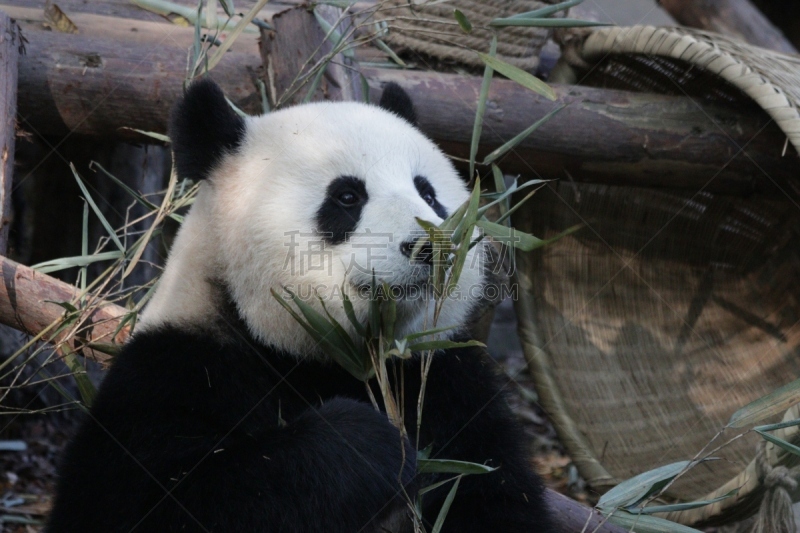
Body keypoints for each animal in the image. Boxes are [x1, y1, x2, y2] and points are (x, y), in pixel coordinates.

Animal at [47, 77, 552, 528]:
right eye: (347, 196)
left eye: (428, 193)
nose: (431, 247)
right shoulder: (178, 369)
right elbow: (151, 501)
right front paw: (368, 442)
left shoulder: (449, 382)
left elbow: (491, 493)